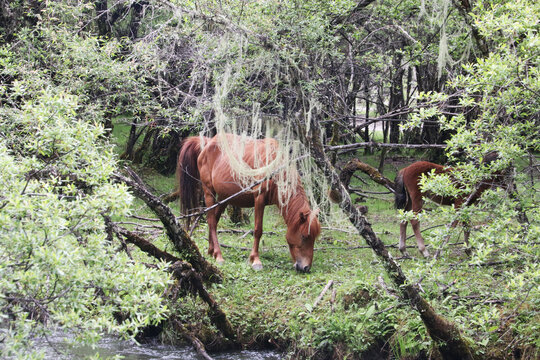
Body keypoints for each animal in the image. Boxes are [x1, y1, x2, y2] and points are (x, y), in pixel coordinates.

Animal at [177, 134, 320, 272]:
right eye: (304, 236)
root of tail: (208, 142)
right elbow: (258, 230)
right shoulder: (259, 199)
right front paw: (255, 260)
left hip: (224, 198)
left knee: (214, 220)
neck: (275, 169)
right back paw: (218, 255)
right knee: (211, 221)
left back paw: (211, 250)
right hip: (209, 192)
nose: (306, 268)